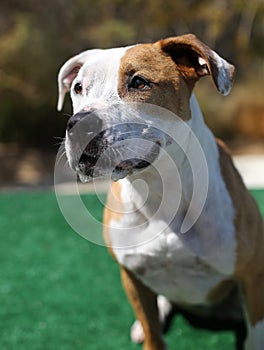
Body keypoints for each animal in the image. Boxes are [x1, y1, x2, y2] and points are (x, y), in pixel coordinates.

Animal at [57, 33, 264, 350]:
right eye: (79, 88)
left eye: (140, 82)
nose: (80, 125)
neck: (158, 192)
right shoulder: (133, 277)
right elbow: (153, 332)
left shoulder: (251, 275)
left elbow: (255, 335)